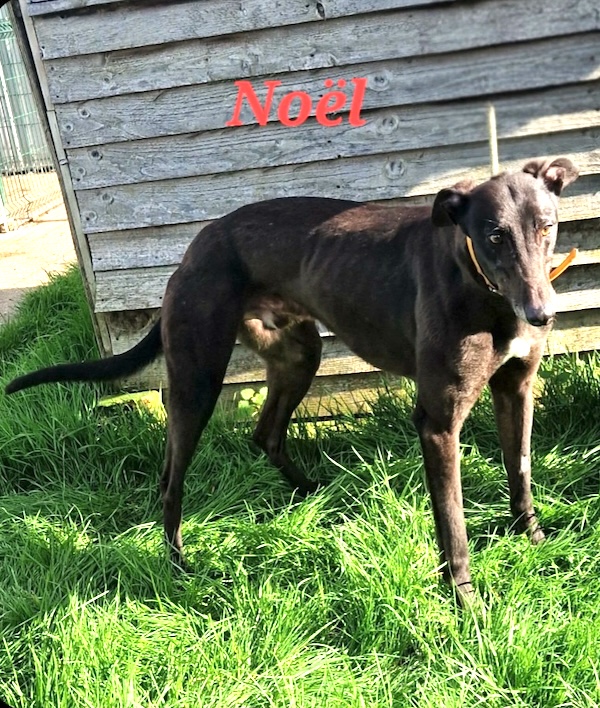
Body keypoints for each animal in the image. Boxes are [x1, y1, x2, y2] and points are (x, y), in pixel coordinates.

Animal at [6, 157, 579, 600]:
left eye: (547, 226)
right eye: (494, 235)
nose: (541, 315)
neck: (482, 289)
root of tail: (197, 245)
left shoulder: (517, 388)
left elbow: (521, 469)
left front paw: (533, 539)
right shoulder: (438, 420)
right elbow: (453, 524)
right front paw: (464, 602)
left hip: (298, 357)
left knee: (264, 433)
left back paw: (311, 492)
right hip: (197, 379)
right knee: (174, 480)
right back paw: (179, 566)